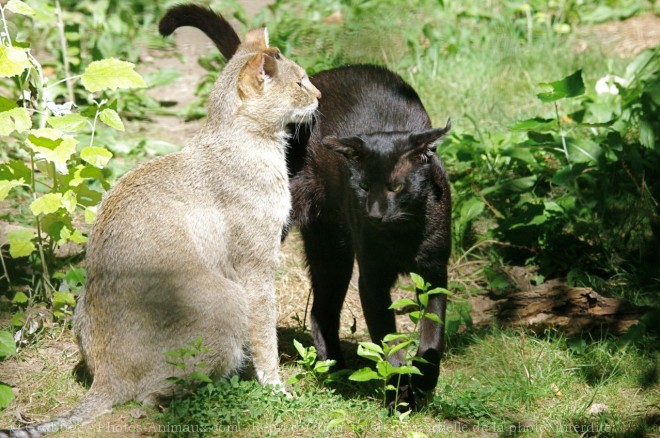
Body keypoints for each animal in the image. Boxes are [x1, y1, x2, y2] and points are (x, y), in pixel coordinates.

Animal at [0, 24, 320, 438]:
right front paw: (275, 388)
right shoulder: (257, 268)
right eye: (300, 81)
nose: (319, 95)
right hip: (228, 299)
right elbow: (265, 338)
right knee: (153, 397)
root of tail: (106, 379)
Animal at [158, 4, 452, 408]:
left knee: (321, 310)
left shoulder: (436, 272)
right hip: (304, 240)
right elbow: (388, 345)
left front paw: (423, 381)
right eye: (362, 187)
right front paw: (397, 395)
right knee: (310, 308)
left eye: (396, 186)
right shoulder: (373, 278)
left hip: (332, 250)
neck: (402, 231)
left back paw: (336, 370)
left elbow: (433, 336)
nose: (374, 214)